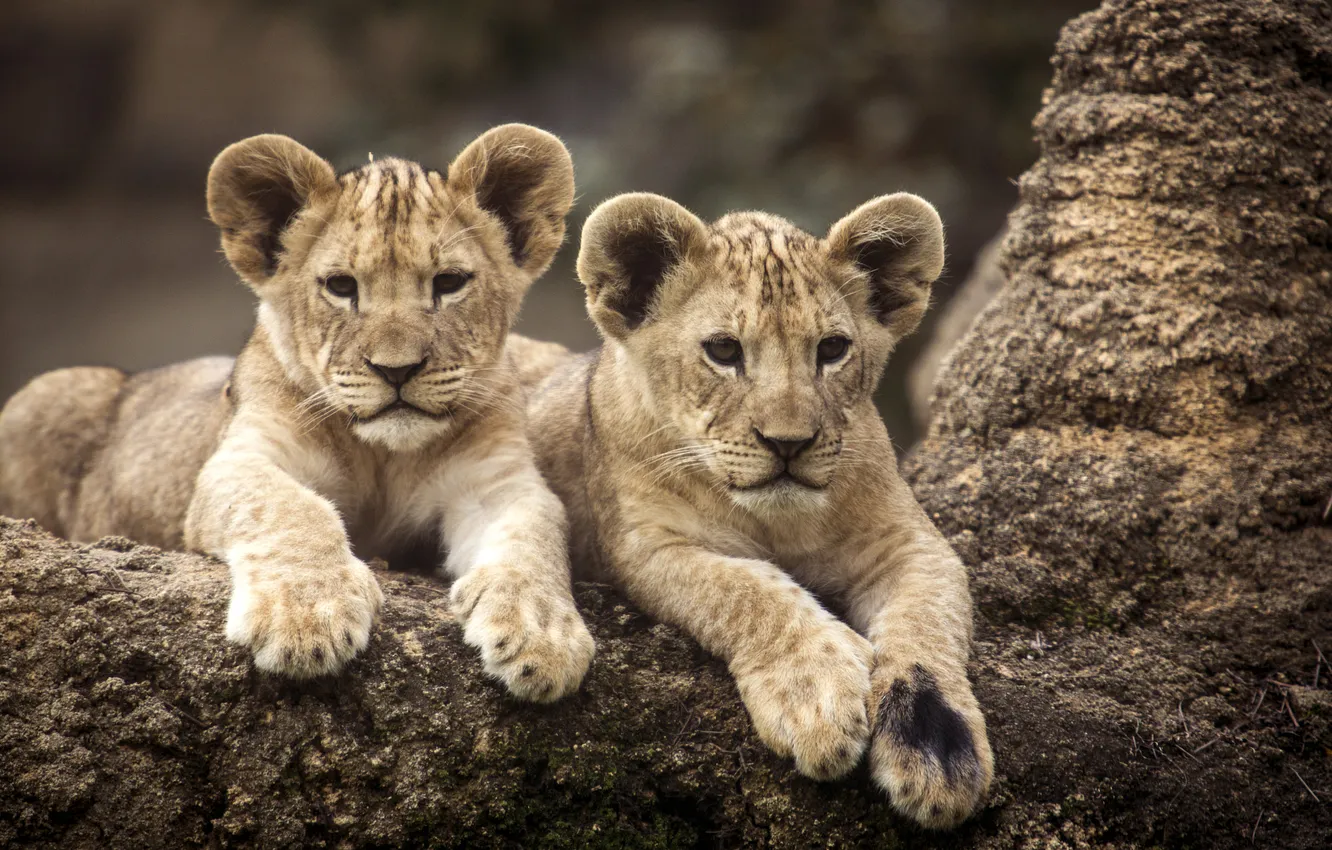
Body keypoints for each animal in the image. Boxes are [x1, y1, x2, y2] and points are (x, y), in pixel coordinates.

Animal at [0, 125, 595, 700]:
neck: (385, 457)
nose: (397, 370)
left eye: (448, 283)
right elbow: (291, 510)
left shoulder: (497, 482)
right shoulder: (241, 459)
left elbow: (534, 539)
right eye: (341, 286)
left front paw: (543, 636)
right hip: (50, 390)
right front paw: (307, 619)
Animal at [518, 192, 994, 826]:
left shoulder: (911, 542)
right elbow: (749, 592)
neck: (777, 522)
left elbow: (926, 627)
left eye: (832, 349)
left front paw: (938, 754)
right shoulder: (649, 546)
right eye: (724, 351)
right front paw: (815, 692)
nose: (788, 443)